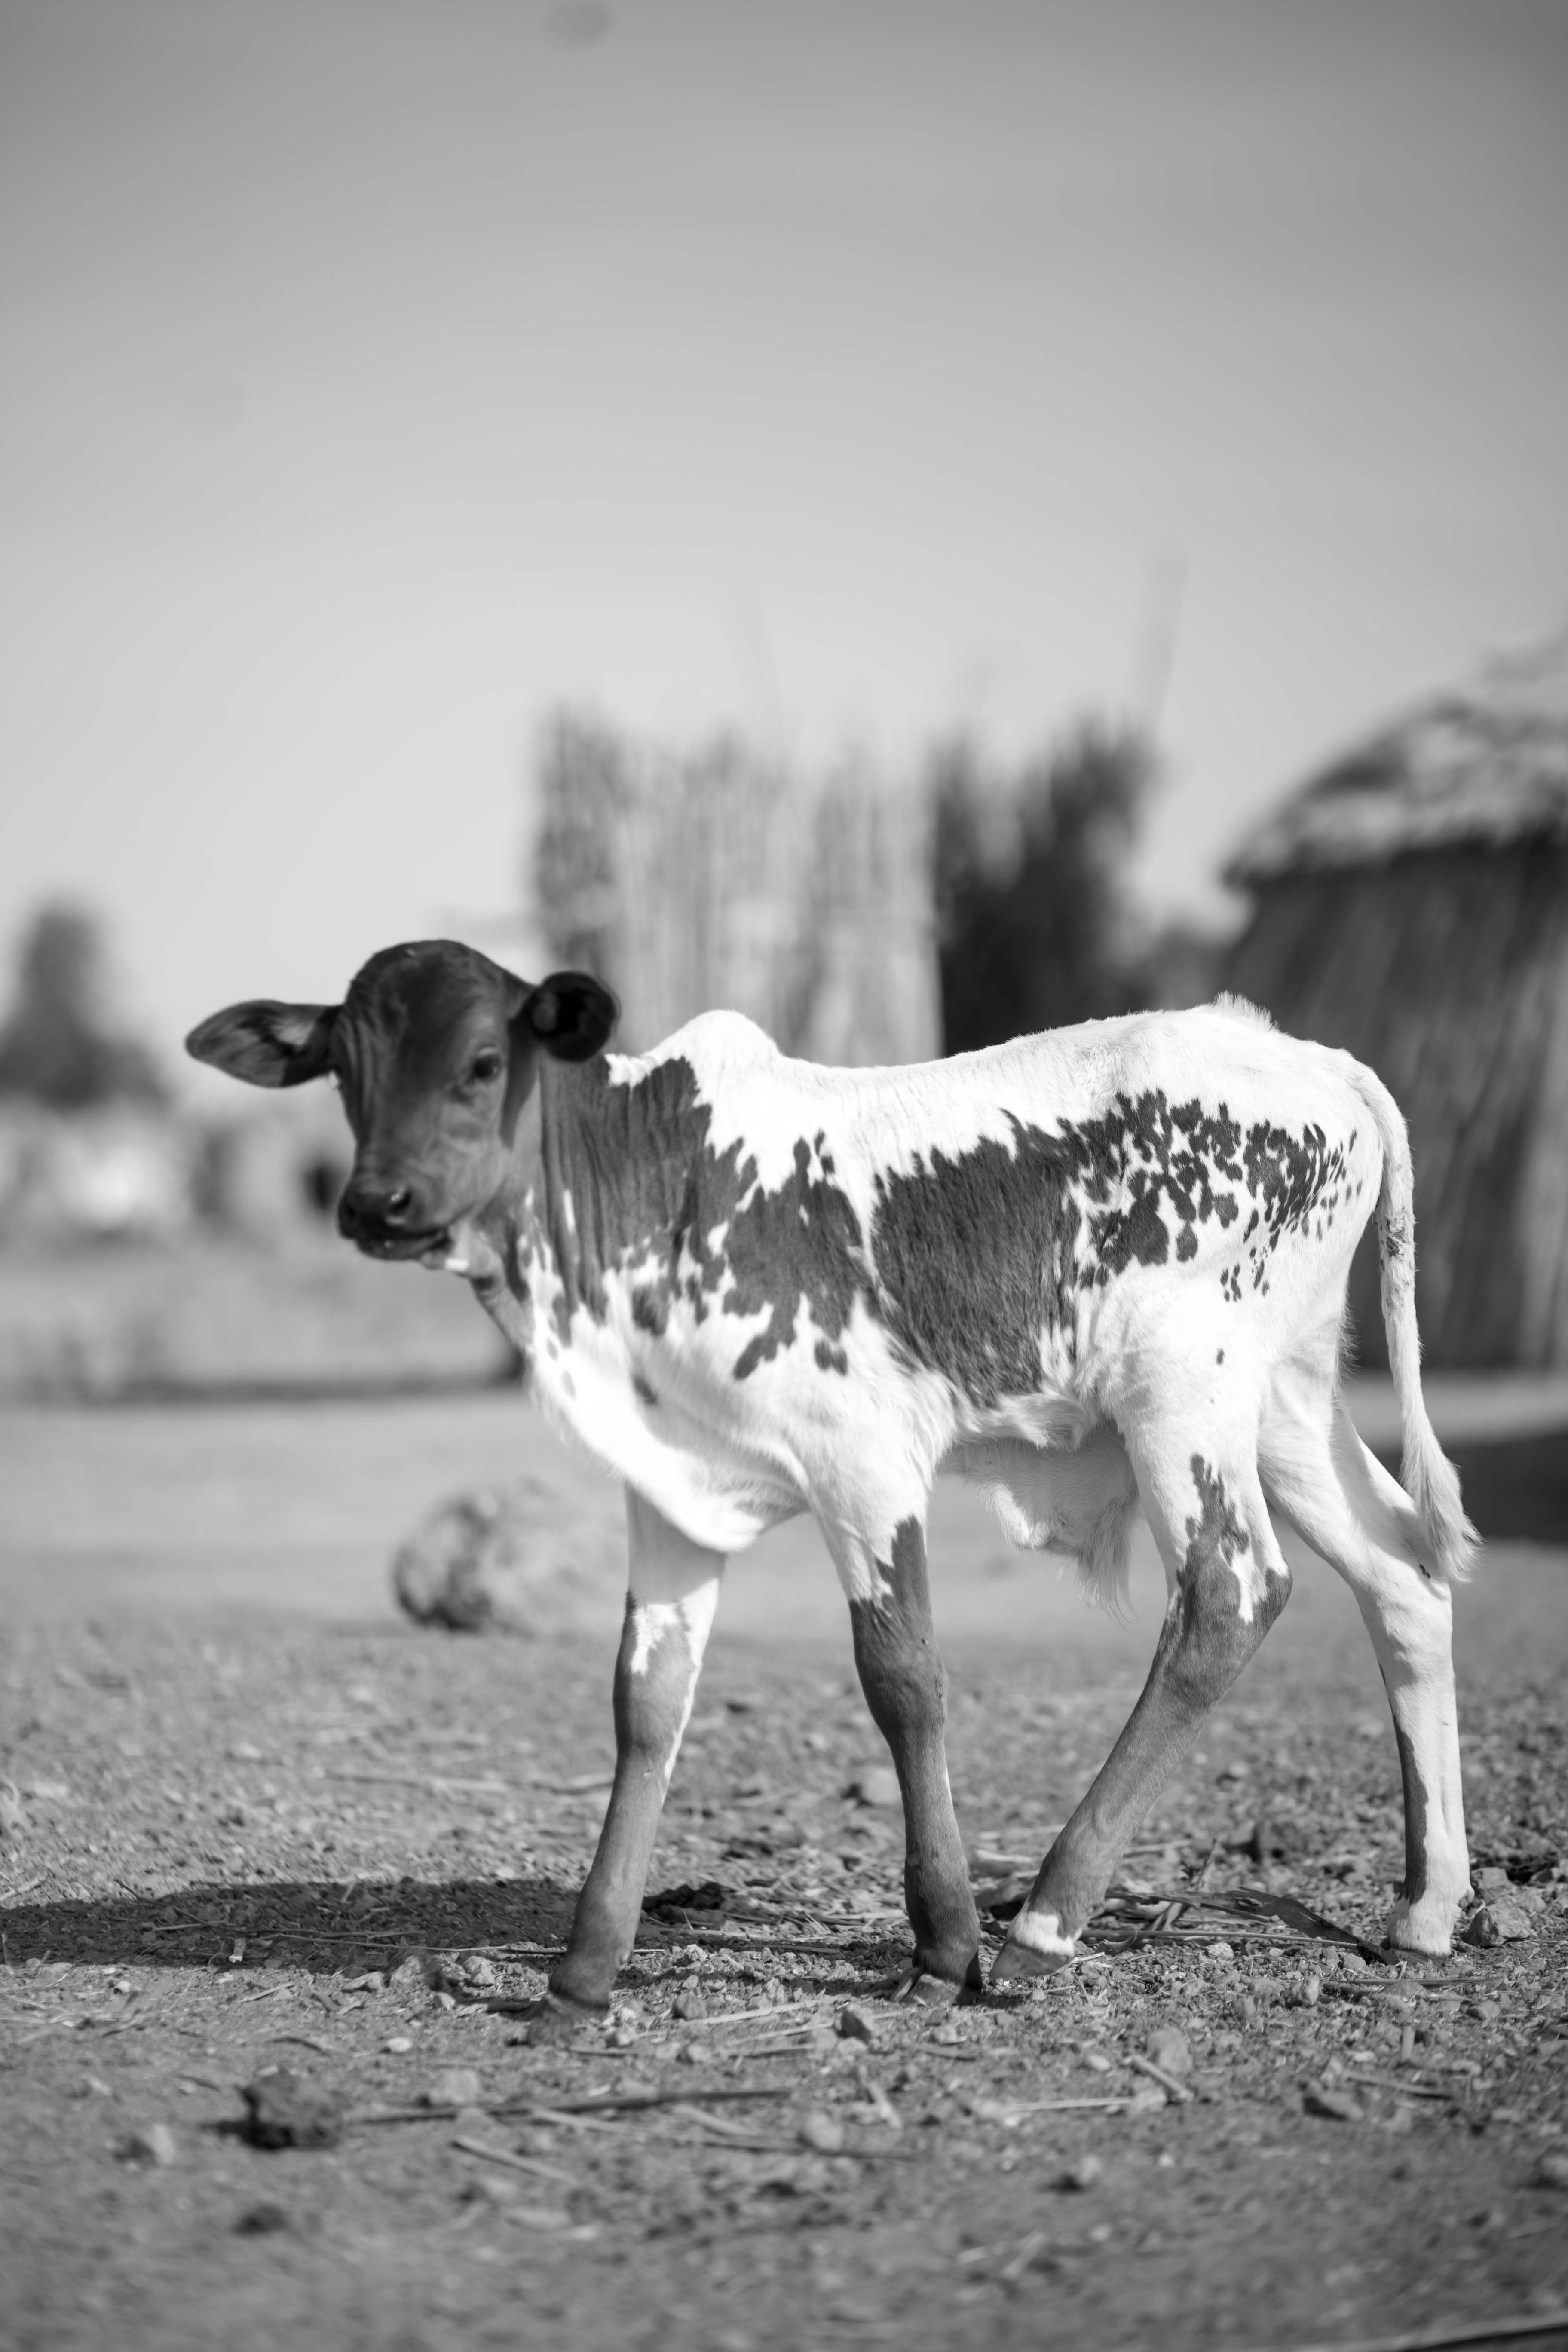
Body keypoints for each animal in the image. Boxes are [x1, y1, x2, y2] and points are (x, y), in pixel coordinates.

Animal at [187, 941, 1476, 2038]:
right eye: (344, 1071)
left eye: (481, 1065)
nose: (377, 1205)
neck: (658, 1189)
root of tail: (1306, 1055)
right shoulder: (669, 1492)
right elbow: (646, 1704)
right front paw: (584, 1973)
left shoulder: (865, 1465)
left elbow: (903, 1681)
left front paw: (945, 1948)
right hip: (1288, 1406)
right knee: (1402, 1583)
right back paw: (1427, 1905)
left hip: (1182, 1398)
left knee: (1230, 1594)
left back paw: (1045, 1919)